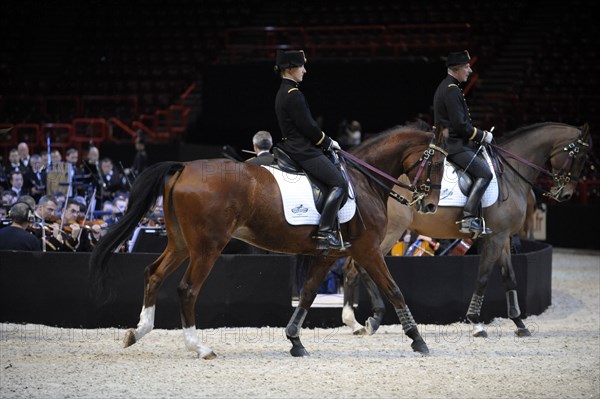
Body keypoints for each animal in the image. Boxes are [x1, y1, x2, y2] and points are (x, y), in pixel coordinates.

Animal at [88, 127, 446, 360]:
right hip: (207, 246)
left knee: (153, 274)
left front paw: (295, 342)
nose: (429, 205)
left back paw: (138, 331)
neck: (363, 182)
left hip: (180, 243)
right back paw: (199, 347)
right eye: (439, 163)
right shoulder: (368, 249)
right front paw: (418, 340)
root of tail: (184, 166)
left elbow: (308, 293)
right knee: (187, 289)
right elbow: (394, 289)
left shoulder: (329, 253)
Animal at [342, 122, 592, 338]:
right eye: (580, 157)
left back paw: (355, 322)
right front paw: (476, 323)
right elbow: (483, 278)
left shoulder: (502, 237)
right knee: (359, 268)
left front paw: (519, 323)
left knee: (351, 269)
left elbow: (509, 278)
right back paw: (370, 319)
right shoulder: (495, 238)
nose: (567, 194)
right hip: (388, 233)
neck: (511, 175)